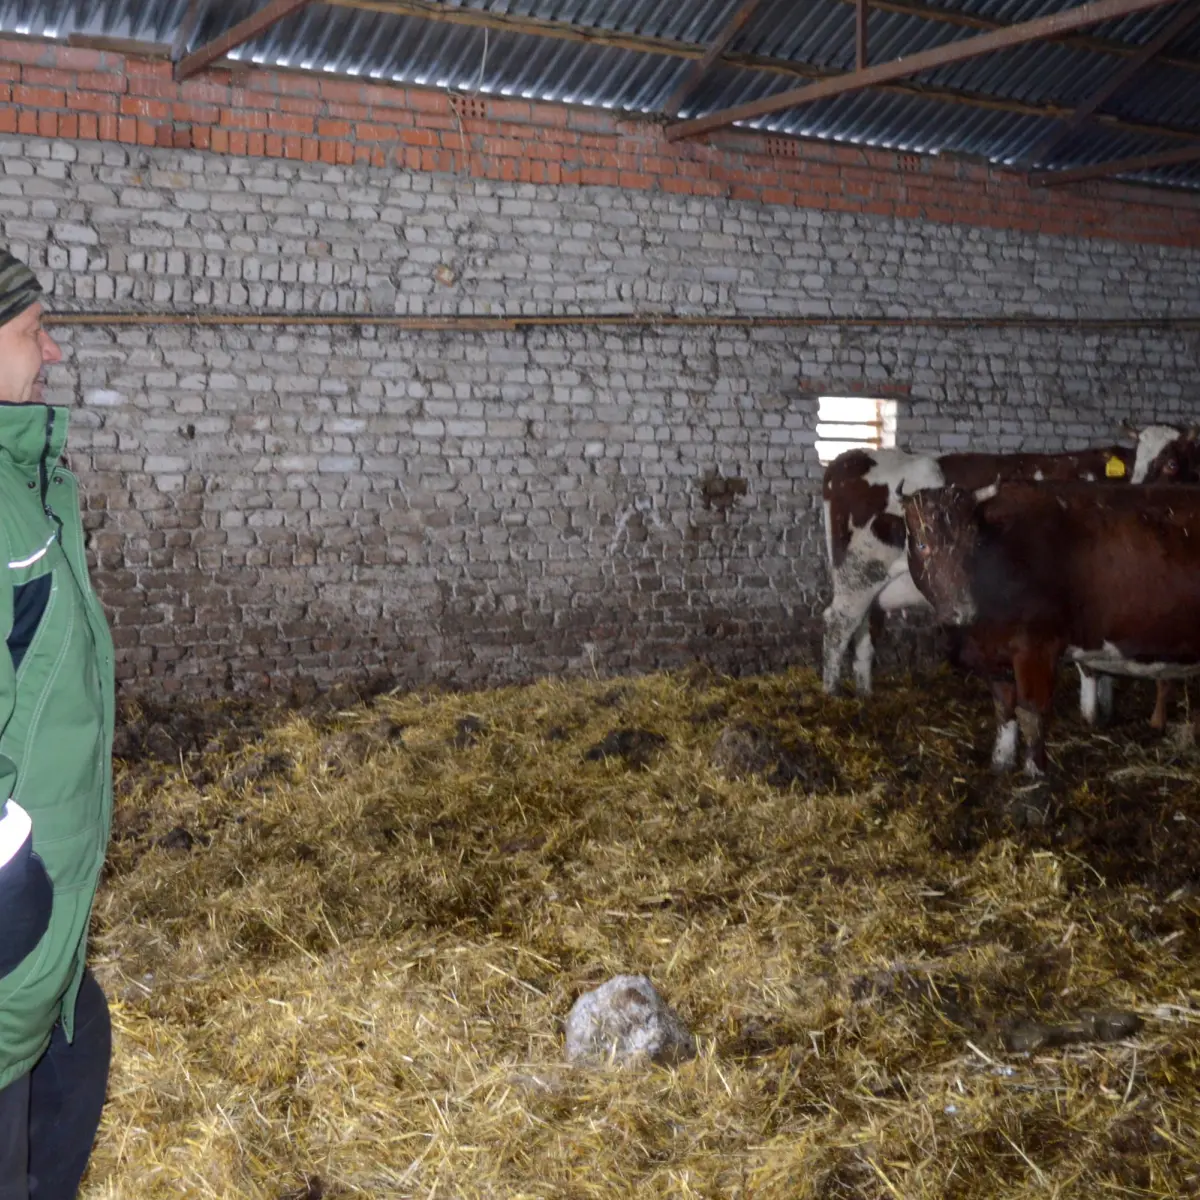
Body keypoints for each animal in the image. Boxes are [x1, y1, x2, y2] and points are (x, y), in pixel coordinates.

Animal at [902, 480, 1200, 777]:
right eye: (922, 544)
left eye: (974, 543)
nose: (962, 610)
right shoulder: (993, 655)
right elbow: (1004, 709)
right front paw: (1001, 762)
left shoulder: (1036, 648)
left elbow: (1031, 714)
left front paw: (1035, 773)